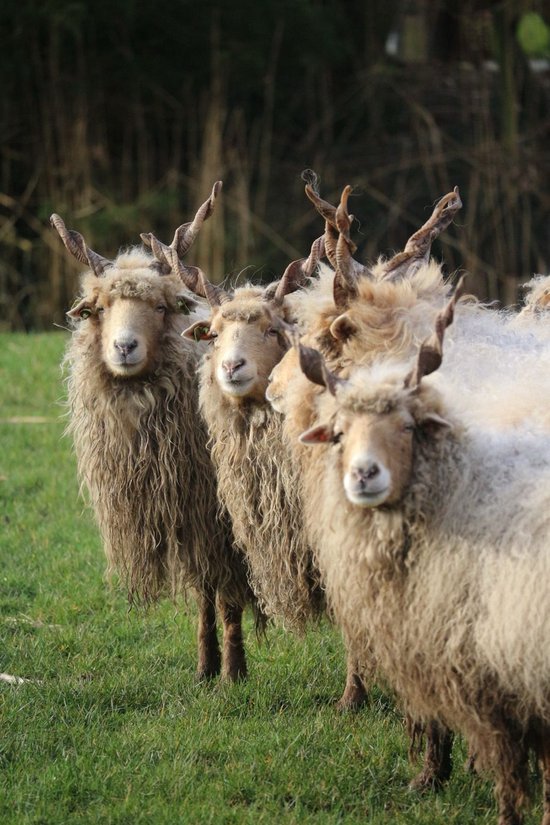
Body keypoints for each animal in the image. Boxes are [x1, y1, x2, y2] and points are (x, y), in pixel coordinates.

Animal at [51, 183, 258, 680]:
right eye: (98, 310)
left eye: (161, 307)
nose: (125, 347)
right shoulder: (190, 513)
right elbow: (203, 592)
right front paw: (205, 666)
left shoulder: (221, 516)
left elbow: (228, 594)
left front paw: (234, 670)